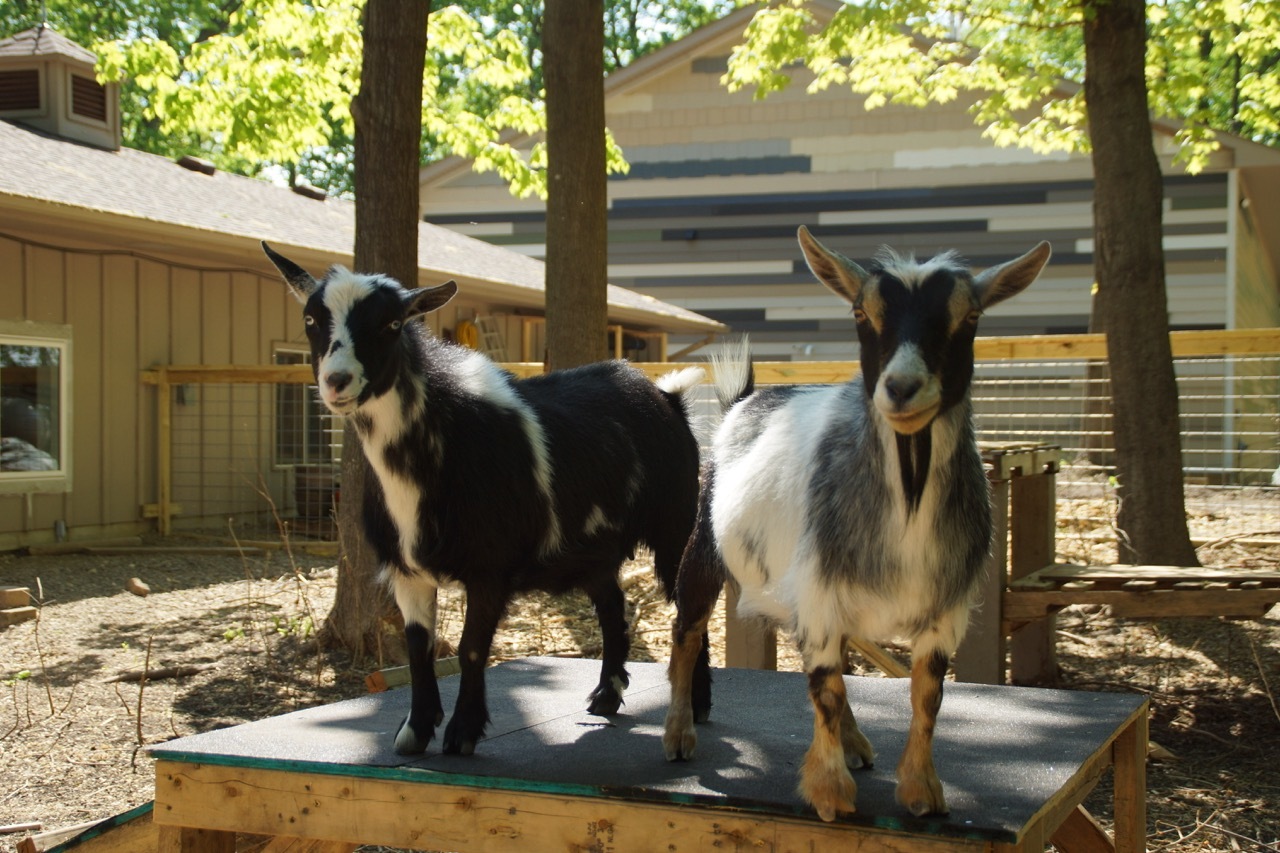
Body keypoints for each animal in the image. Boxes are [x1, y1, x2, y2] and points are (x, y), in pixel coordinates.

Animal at [263, 243, 703, 756]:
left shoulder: (490, 567)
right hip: (596, 552)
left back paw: (697, 709)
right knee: (614, 608)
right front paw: (415, 731)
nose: (337, 381)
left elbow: (471, 647)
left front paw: (461, 734)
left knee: (690, 613)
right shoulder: (406, 571)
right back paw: (605, 698)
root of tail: (668, 397)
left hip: (676, 525)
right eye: (311, 319)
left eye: (391, 323)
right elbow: (419, 650)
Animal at [663, 227, 1050, 821]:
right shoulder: (819, 595)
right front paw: (830, 795)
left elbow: (926, 695)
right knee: (687, 630)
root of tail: (741, 402)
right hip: (705, 549)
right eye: (861, 313)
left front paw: (922, 793)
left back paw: (856, 743)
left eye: (970, 316)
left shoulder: (942, 609)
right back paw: (679, 733)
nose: (902, 387)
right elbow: (826, 689)